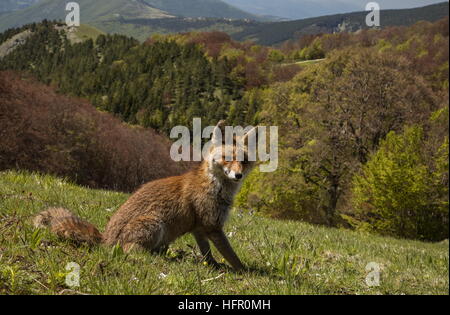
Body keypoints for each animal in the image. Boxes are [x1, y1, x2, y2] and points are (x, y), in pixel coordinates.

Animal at [33, 121, 258, 272]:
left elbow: (207, 253)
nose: (238, 175)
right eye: (227, 159)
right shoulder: (213, 226)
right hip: (155, 224)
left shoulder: (200, 228)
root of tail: (105, 239)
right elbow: (231, 255)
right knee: (128, 250)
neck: (215, 186)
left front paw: (212, 265)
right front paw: (245, 271)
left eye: (244, 161)